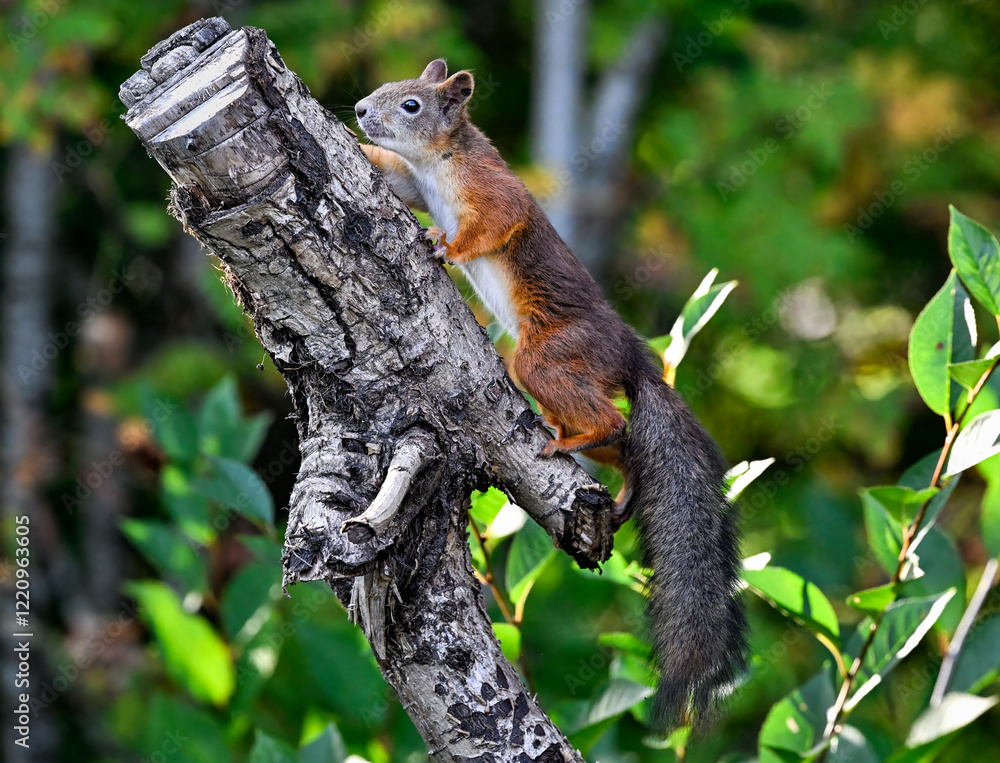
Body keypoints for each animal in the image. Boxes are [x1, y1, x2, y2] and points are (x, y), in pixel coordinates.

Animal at [354, 59, 749, 731]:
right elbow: (400, 185)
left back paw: (576, 437)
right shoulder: (416, 185)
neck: (442, 160)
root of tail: (632, 361)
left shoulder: (493, 194)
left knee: (612, 422)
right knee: (627, 444)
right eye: (385, 91)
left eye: (410, 104)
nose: (358, 110)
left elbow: (492, 225)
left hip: (548, 356)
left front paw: (445, 246)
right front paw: (361, 151)